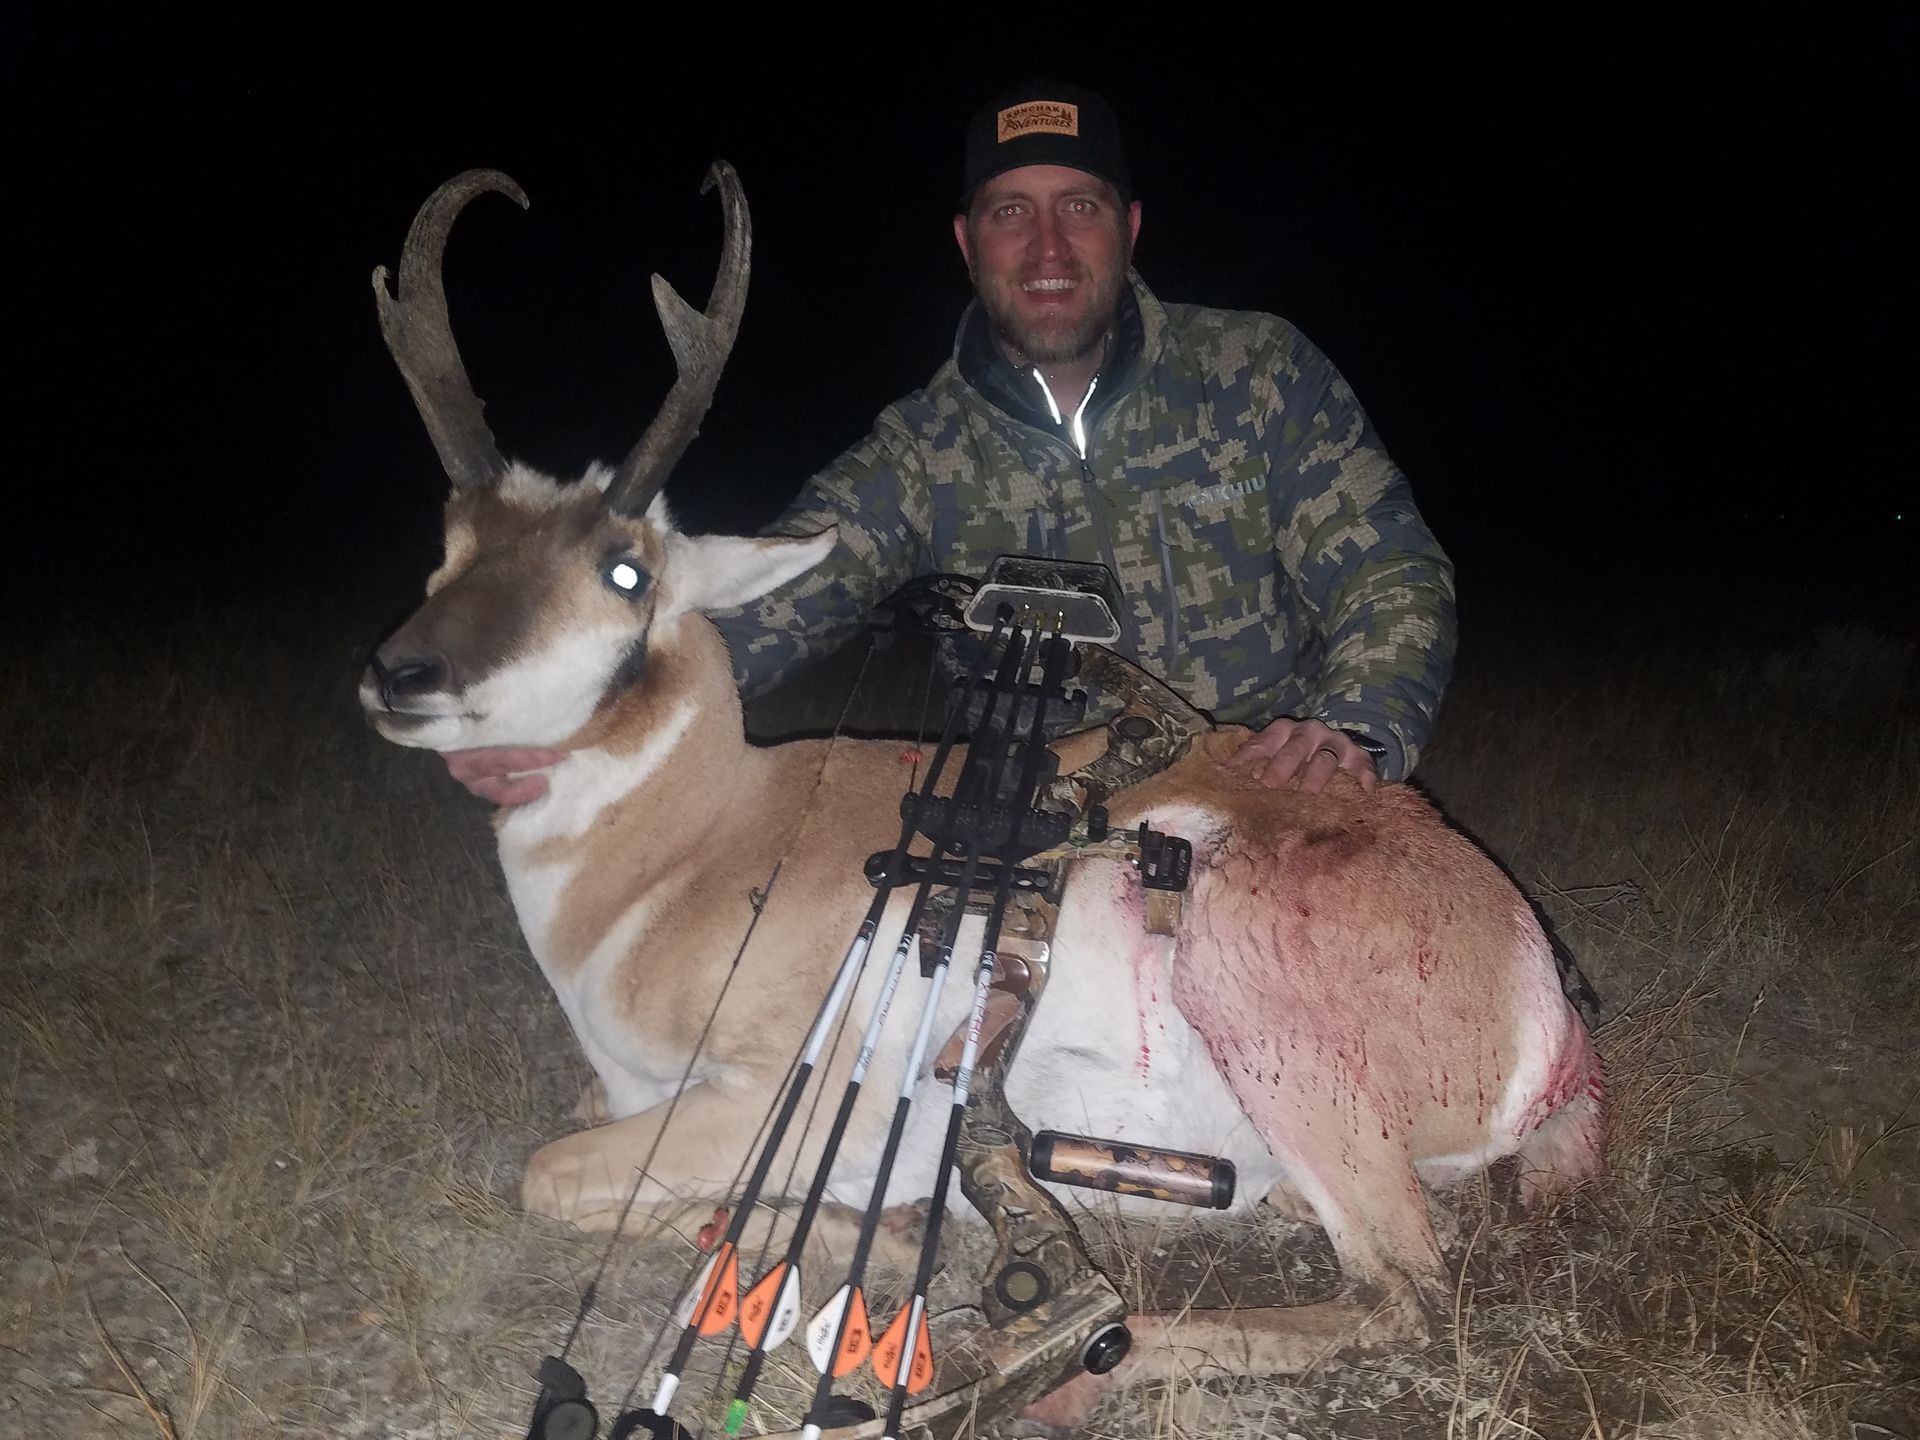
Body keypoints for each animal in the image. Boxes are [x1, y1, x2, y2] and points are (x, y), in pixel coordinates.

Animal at [360, 165, 1605, 1405]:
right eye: (451, 540)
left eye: (626, 570)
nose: (398, 677)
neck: (708, 847)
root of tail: (1547, 1006)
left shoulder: (769, 1096)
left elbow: (551, 1174)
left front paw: (857, 1233)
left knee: (1402, 1294)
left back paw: (1025, 1353)